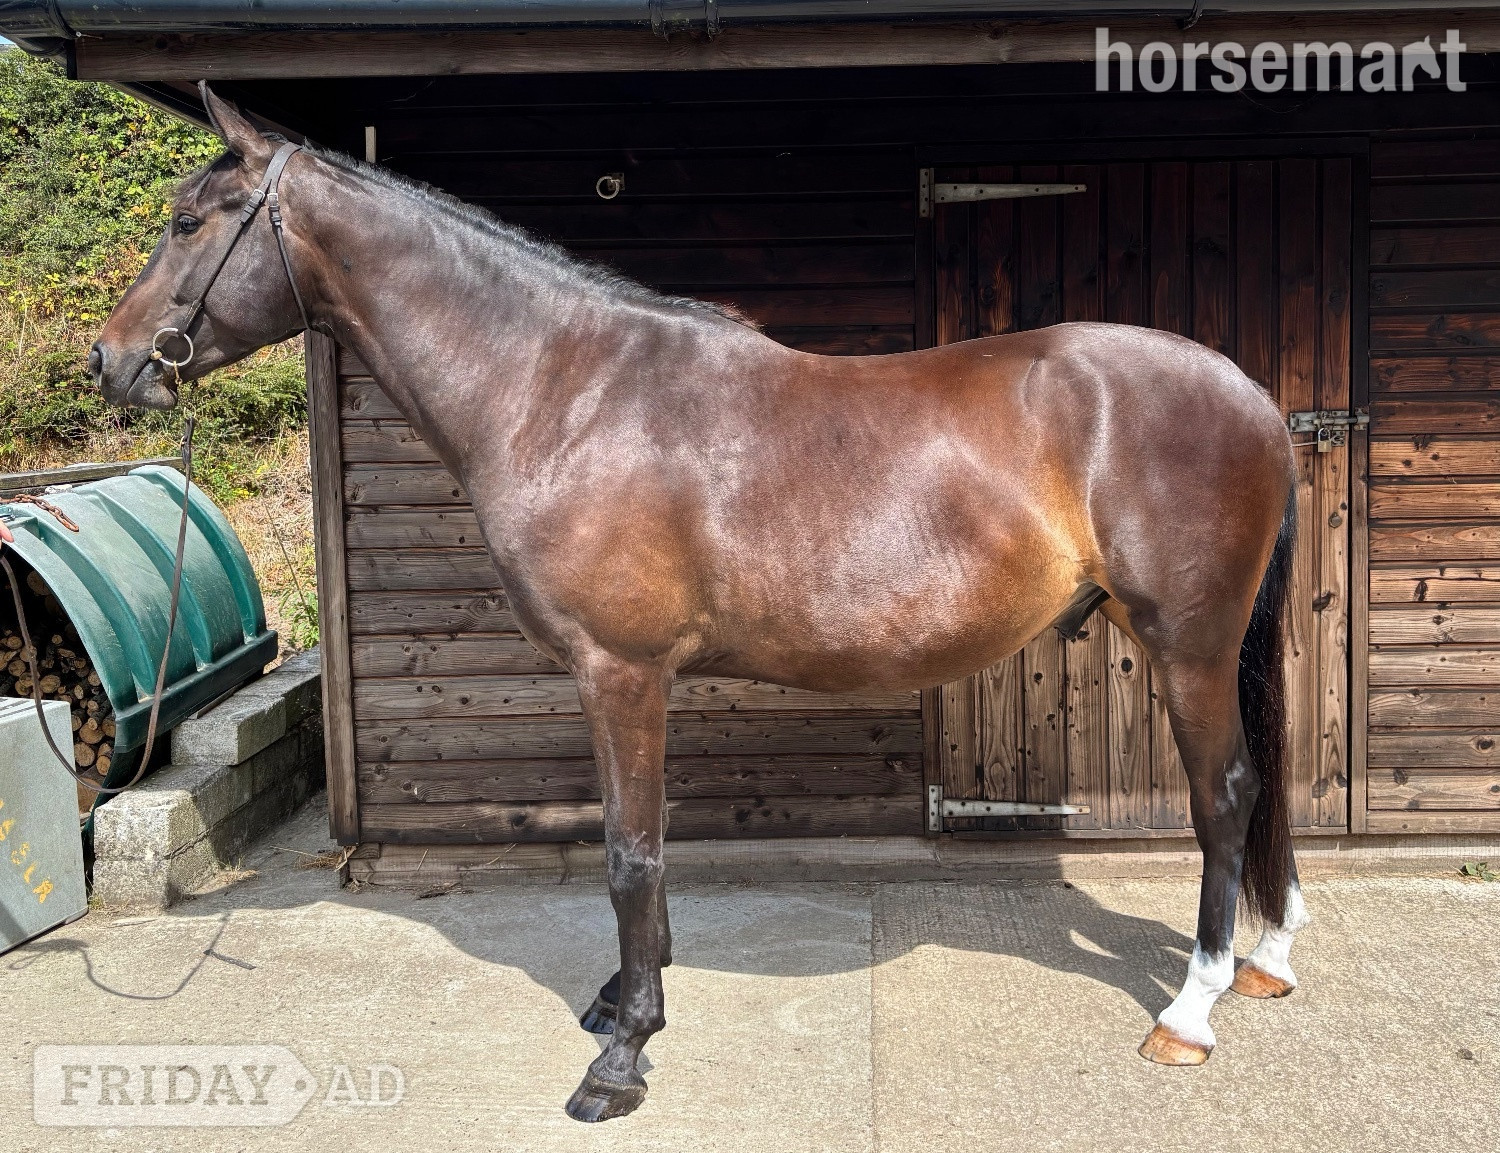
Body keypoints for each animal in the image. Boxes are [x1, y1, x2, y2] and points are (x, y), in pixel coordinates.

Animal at [91, 85, 1308, 1122]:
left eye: (189, 220)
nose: (110, 363)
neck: (565, 390)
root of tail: (1250, 394)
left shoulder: (619, 669)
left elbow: (630, 851)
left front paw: (622, 1055)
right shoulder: (632, 679)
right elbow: (650, 840)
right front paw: (627, 999)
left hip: (1188, 645)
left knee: (1224, 794)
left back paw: (1190, 1010)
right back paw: (1268, 959)